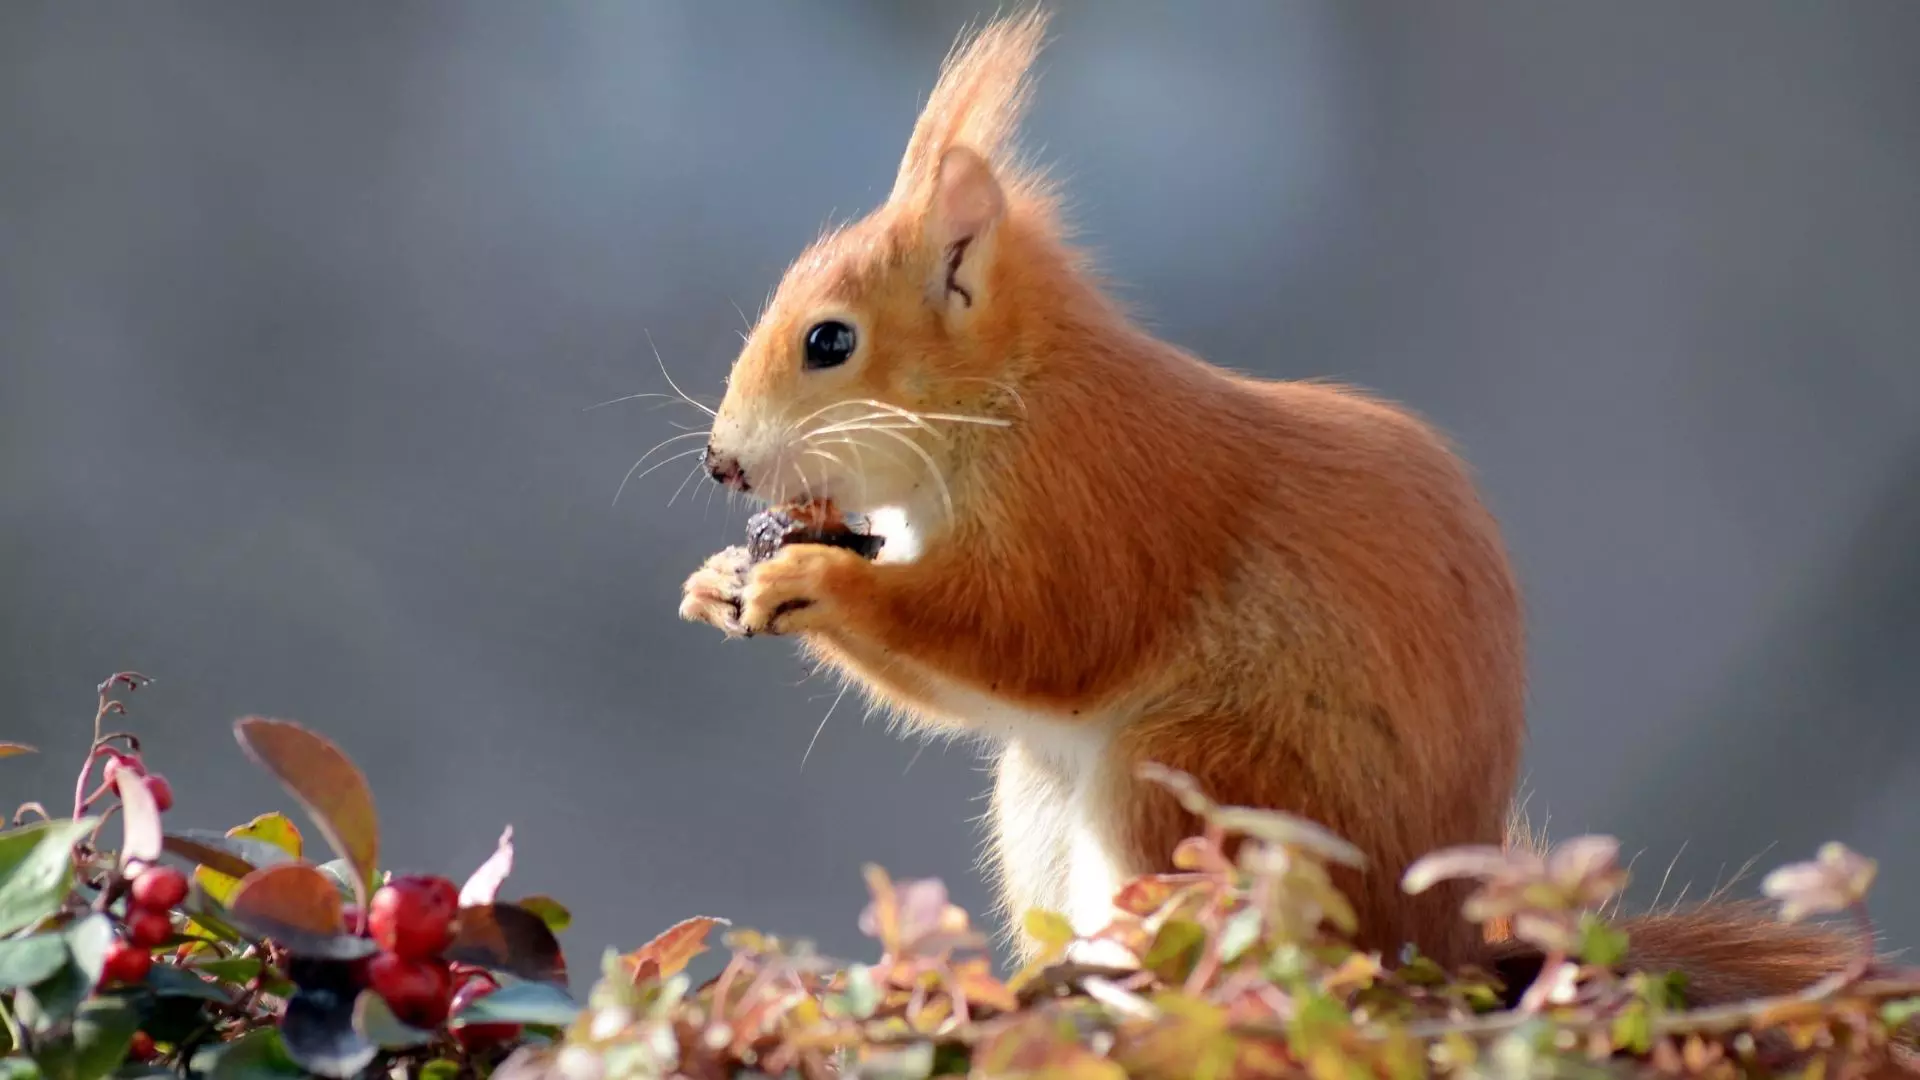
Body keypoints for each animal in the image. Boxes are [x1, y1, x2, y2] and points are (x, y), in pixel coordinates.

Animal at [675, 6, 1873, 999]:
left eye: (830, 342)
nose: (723, 466)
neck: (1010, 396)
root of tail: (1435, 950)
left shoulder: (1097, 501)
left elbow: (1037, 636)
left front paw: (811, 579)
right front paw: (719, 579)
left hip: (1199, 785)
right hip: (1051, 796)